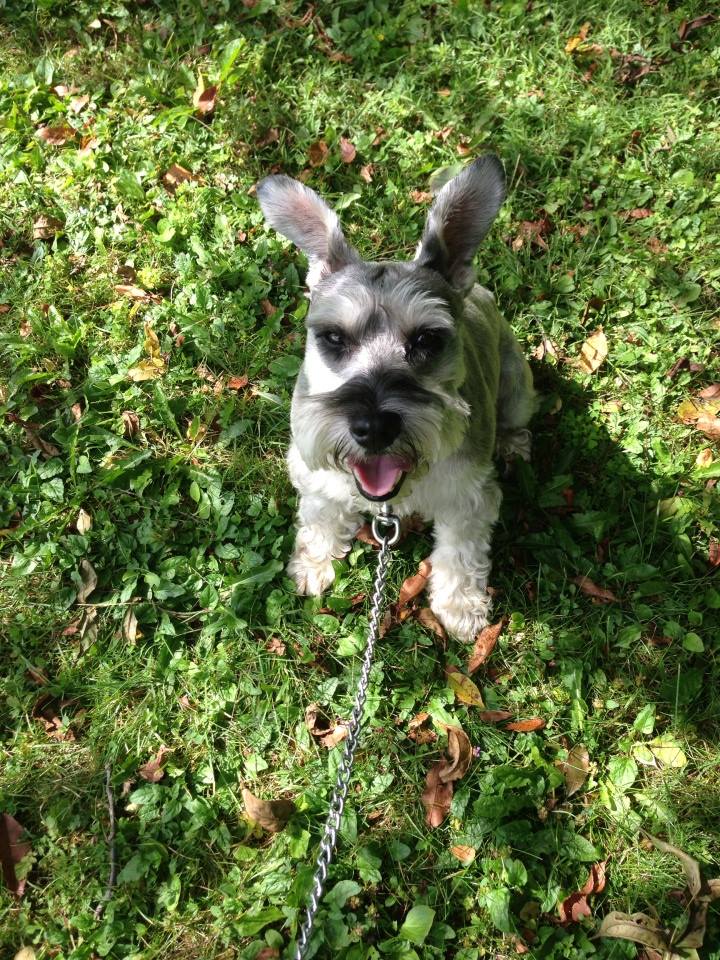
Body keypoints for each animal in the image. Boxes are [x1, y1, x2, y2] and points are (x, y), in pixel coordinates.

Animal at [258, 156, 536, 636]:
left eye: (427, 339)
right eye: (334, 337)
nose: (374, 428)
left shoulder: (467, 497)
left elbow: (460, 553)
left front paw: (460, 607)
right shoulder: (314, 472)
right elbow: (320, 517)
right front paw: (313, 563)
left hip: (518, 385)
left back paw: (512, 443)